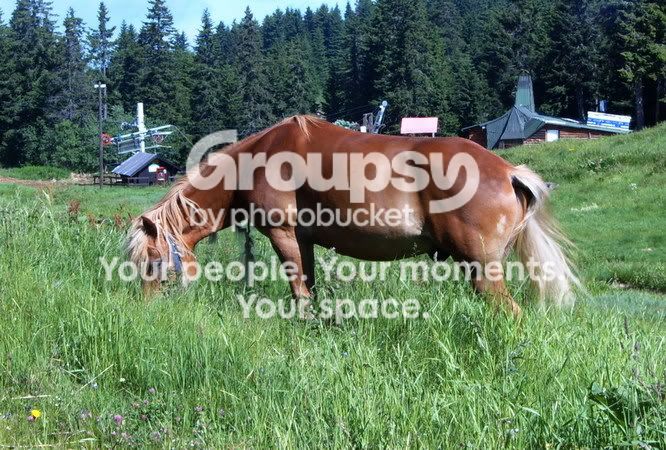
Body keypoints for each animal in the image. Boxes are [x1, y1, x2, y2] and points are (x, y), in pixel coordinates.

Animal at [127, 116, 579, 318]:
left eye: (154, 263)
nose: (146, 311)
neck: (255, 162)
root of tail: (508, 171)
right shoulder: (303, 241)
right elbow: (308, 289)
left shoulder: (284, 235)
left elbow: (299, 294)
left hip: (482, 268)